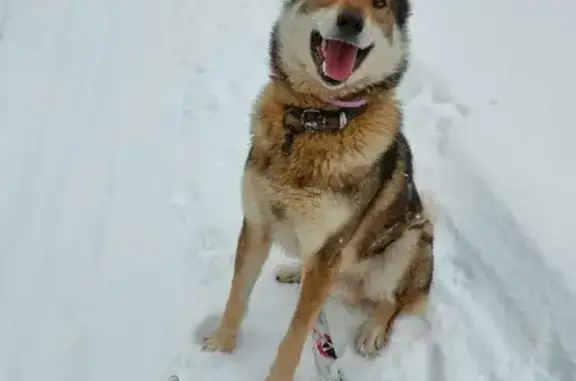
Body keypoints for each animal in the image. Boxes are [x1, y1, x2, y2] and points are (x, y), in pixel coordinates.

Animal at [201, 0, 432, 380]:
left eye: (380, 4)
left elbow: (295, 335)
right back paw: (294, 270)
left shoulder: (329, 248)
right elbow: (237, 294)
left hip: (410, 240)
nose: (351, 21)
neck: (313, 121)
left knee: (392, 300)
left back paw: (372, 331)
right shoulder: (257, 224)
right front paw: (221, 345)